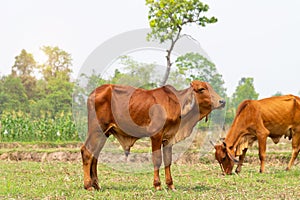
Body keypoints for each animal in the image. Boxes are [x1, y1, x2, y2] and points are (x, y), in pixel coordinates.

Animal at [80, 80, 225, 190]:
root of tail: (93, 93)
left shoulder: (168, 138)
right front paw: (157, 185)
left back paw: (96, 185)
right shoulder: (156, 135)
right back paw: (88, 185)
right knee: (86, 151)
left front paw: (170, 185)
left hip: (104, 133)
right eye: (201, 89)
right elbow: (157, 159)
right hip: (96, 129)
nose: (222, 102)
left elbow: (168, 161)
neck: (175, 104)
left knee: (95, 155)